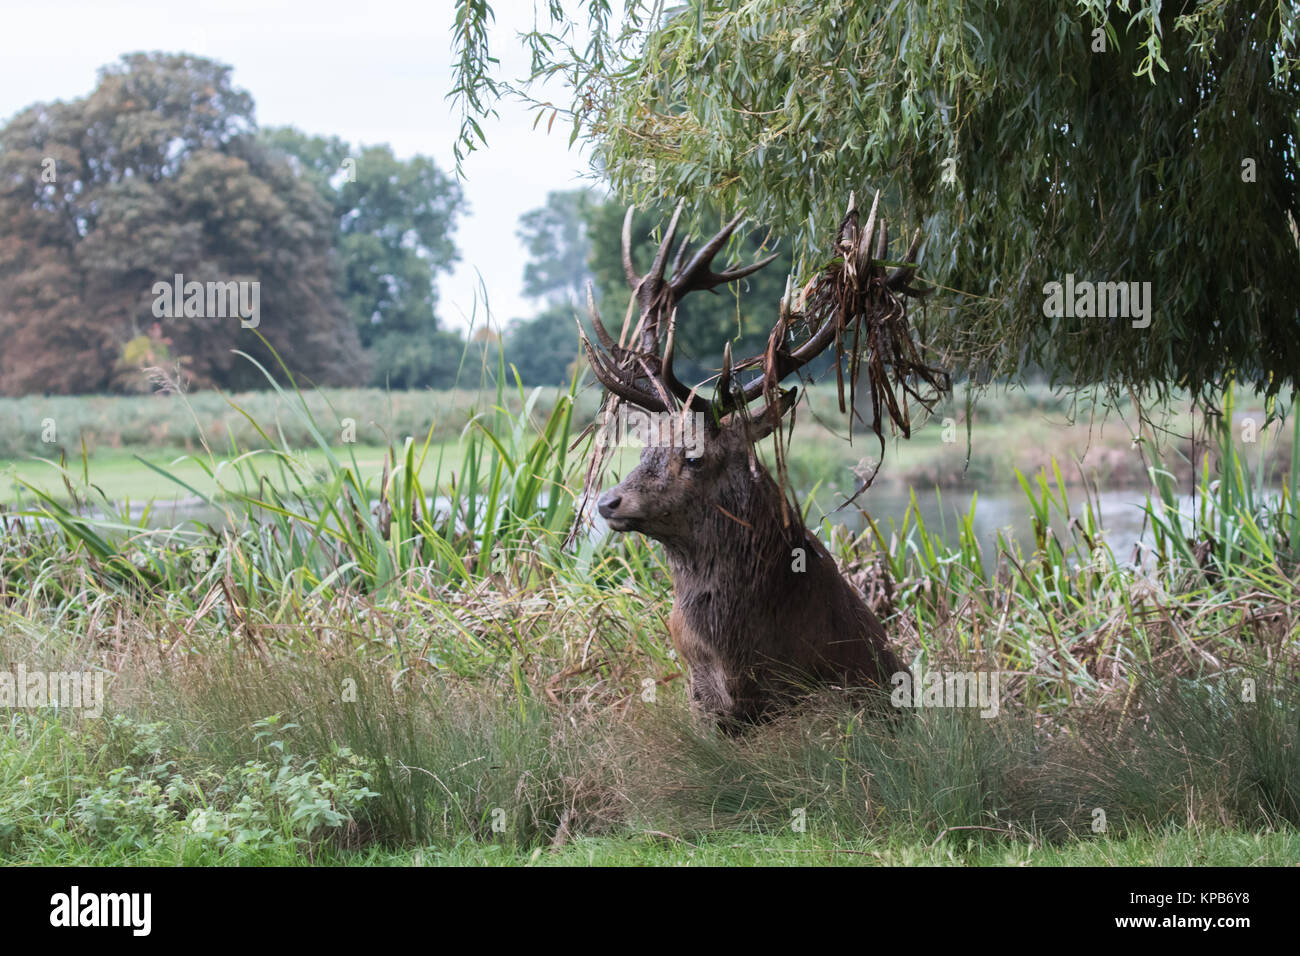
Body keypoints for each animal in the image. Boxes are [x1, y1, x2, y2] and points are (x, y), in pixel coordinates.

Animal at [581, 193, 946, 729]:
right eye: (646, 448)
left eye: (694, 457)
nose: (609, 502)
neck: (729, 655)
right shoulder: (702, 699)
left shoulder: (801, 693)